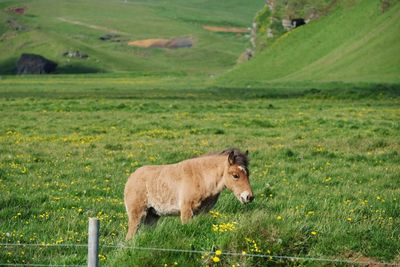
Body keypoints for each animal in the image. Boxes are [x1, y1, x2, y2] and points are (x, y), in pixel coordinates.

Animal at [123, 149, 253, 241]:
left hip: (152, 216)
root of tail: (130, 178)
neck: (201, 178)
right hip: (137, 215)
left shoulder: (202, 213)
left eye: (248, 174)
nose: (249, 197)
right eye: (235, 175)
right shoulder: (186, 211)